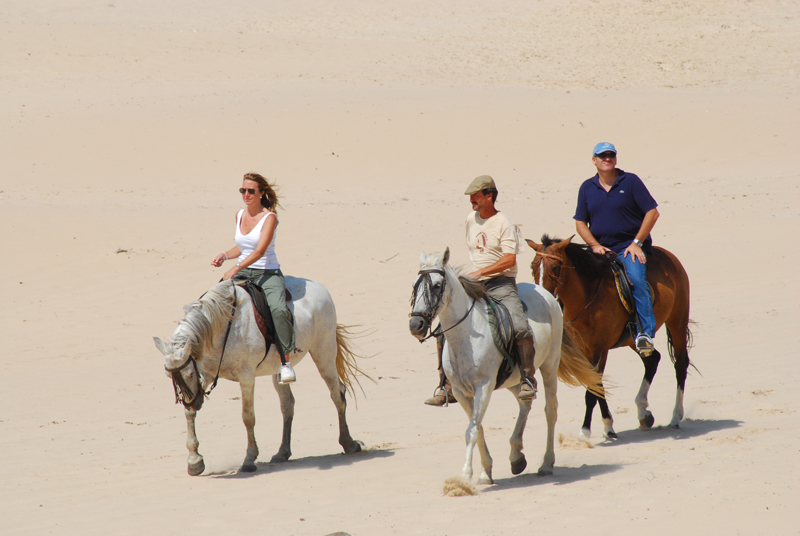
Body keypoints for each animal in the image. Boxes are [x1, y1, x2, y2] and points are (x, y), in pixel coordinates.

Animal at [153, 278, 366, 476]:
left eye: (189, 373)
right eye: (169, 376)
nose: (194, 403)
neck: (223, 326)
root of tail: (319, 287)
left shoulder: (246, 377)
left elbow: (248, 417)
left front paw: (249, 459)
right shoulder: (205, 374)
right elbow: (189, 414)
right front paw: (194, 461)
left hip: (324, 351)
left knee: (337, 393)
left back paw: (348, 443)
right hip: (279, 369)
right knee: (288, 404)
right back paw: (282, 452)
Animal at [406, 249, 600, 484]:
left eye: (436, 285)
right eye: (414, 286)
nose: (416, 325)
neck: (466, 336)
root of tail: (546, 294)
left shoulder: (484, 387)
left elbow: (472, 430)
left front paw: (465, 475)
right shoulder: (461, 392)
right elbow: (477, 427)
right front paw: (485, 472)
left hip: (549, 365)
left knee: (550, 410)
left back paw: (546, 463)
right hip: (515, 379)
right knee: (525, 401)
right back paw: (517, 456)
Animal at [524, 236, 692, 440]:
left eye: (555, 267)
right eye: (533, 266)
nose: (543, 295)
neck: (586, 298)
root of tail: (669, 256)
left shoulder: (599, 350)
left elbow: (593, 390)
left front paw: (585, 430)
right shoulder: (585, 350)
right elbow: (596, 386)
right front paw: (608, 426)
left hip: (677, 321)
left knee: (680, 365)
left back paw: (675, 416)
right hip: (632, 339)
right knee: (653, 360)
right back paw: (643, 412)